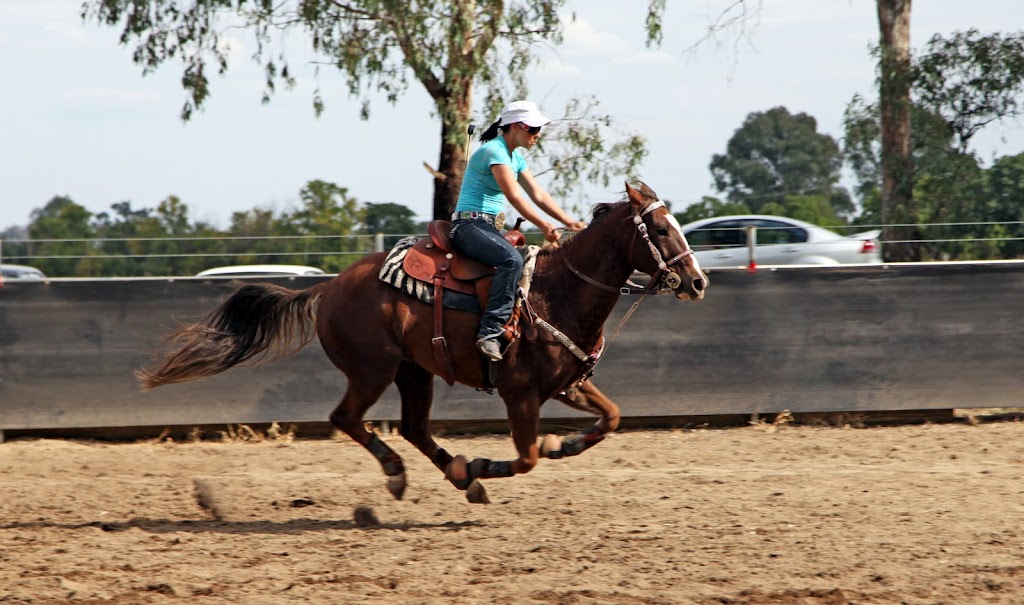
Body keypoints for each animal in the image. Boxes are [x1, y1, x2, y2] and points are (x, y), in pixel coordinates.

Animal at [140, 180, 708, 501]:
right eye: (660, 229)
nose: (699, 282)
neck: (556, 293)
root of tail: (330, 285)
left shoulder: (569, 384)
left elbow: (610, 418)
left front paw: (561, 445)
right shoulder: (519, 394)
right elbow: (526, 456)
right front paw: (492, 461)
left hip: (414, 371)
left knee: (414, 426)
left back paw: (461, 477)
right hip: (373, 369)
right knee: (346, 418)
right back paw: (406, 473)